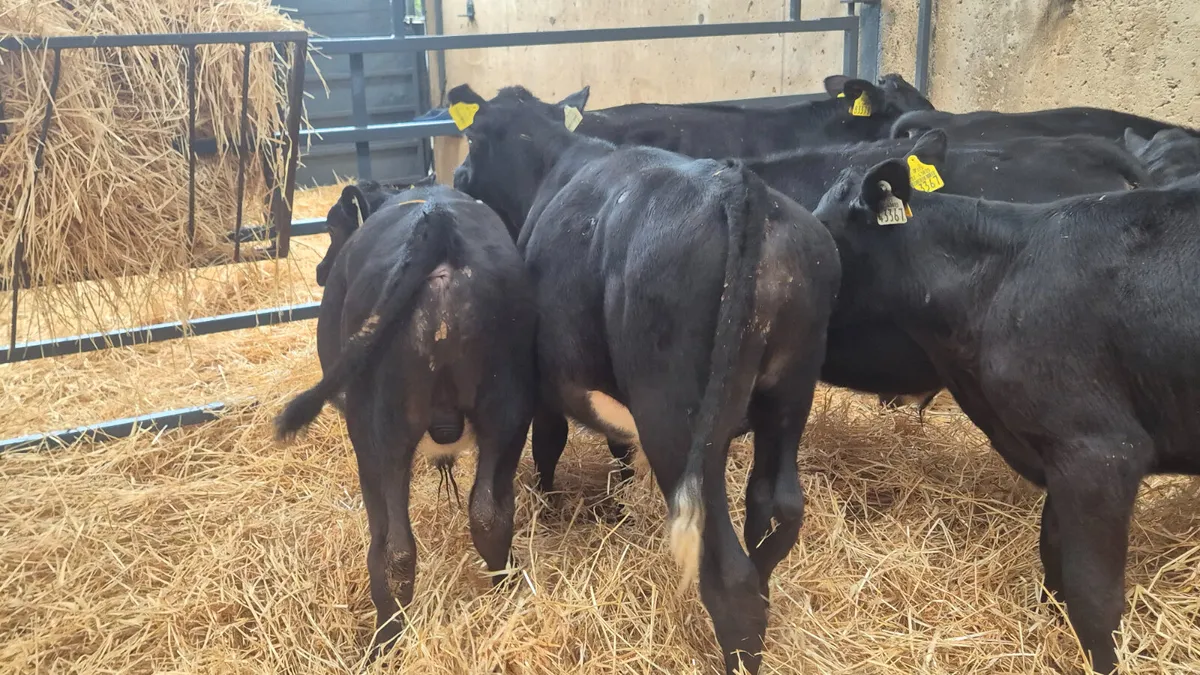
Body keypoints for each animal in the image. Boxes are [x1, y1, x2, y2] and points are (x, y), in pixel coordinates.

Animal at [274, 183, 537, 659]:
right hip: (508, 414)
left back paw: (383, 643)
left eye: (332, 226)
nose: (321, 270)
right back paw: (505, 593)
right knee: (490, 515)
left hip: (378, 438)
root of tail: (438, 225)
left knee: (393, 551)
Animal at [448, 82, 841, 674]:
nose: (457, 177)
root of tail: (740, 187)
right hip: (789, 397)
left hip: (675, 416)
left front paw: (549, 500)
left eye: (471, 138)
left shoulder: (545, 379)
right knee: (776, 510)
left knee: (727, 571)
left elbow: (548, 442)